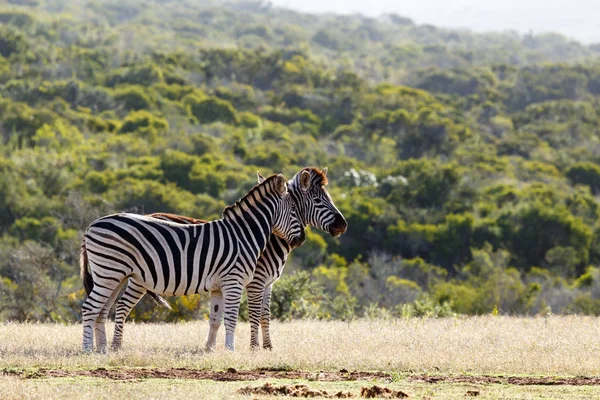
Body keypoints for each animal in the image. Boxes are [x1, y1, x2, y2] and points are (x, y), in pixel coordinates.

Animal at [106, 167, 346, 352]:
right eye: (318, 199)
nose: (343, 225)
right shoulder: (255, 282)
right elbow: (254, 314)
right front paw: (254, 348)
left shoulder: (268, 284)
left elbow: (265, 316)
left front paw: (268, 347)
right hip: (140, 278)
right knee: (123, 304)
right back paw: (115, 346)